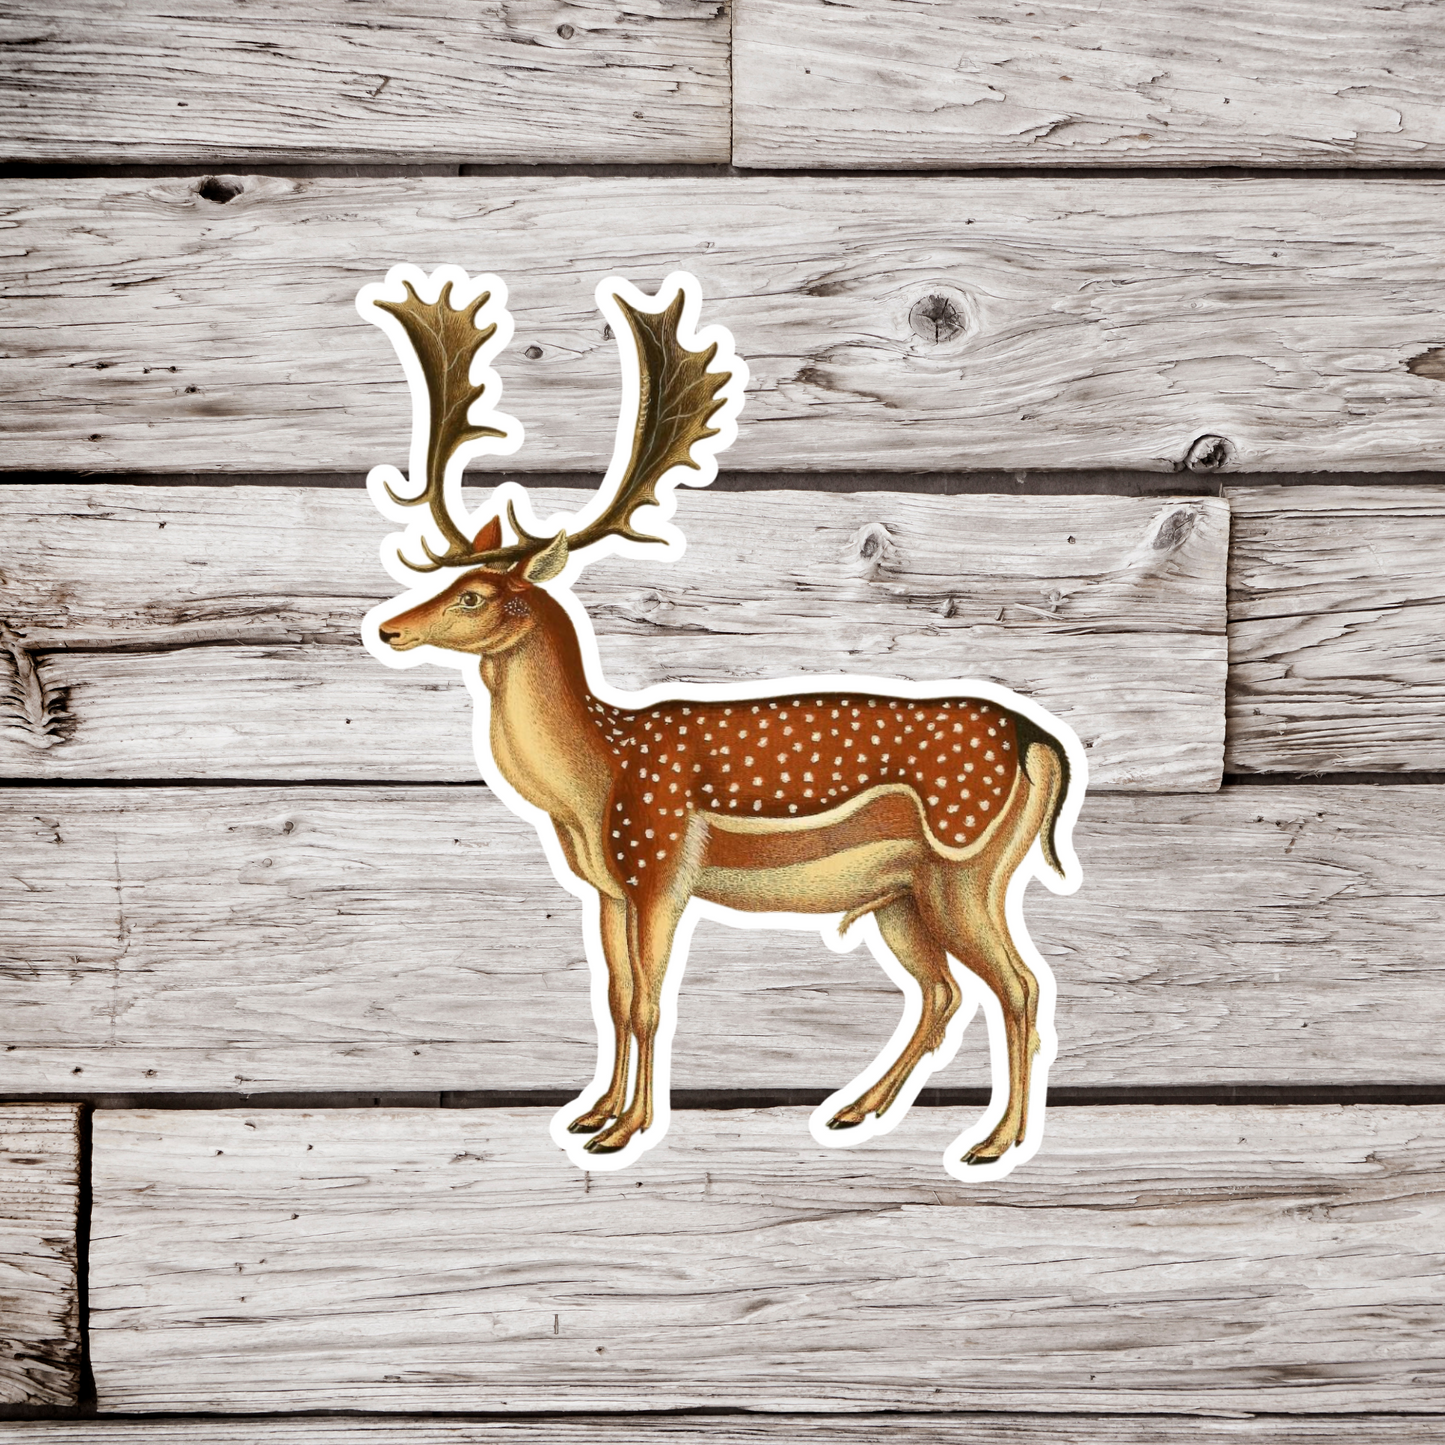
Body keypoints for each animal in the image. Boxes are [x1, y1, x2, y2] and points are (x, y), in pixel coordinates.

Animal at [357, 264, 1086, 1181]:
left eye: (476, 596)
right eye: (451, 583)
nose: (387, 629)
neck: (592, 782)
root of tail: (1041, 741)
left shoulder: (660, 864)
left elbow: (649, 1001)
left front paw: (623, 1130)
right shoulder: (609, 884)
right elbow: (615, 994)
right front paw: (591, 1113)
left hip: (969, 866)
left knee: (1019, 985)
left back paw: (993, 1142)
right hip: (901, 892)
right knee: (942, 990)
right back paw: (855, 1110)